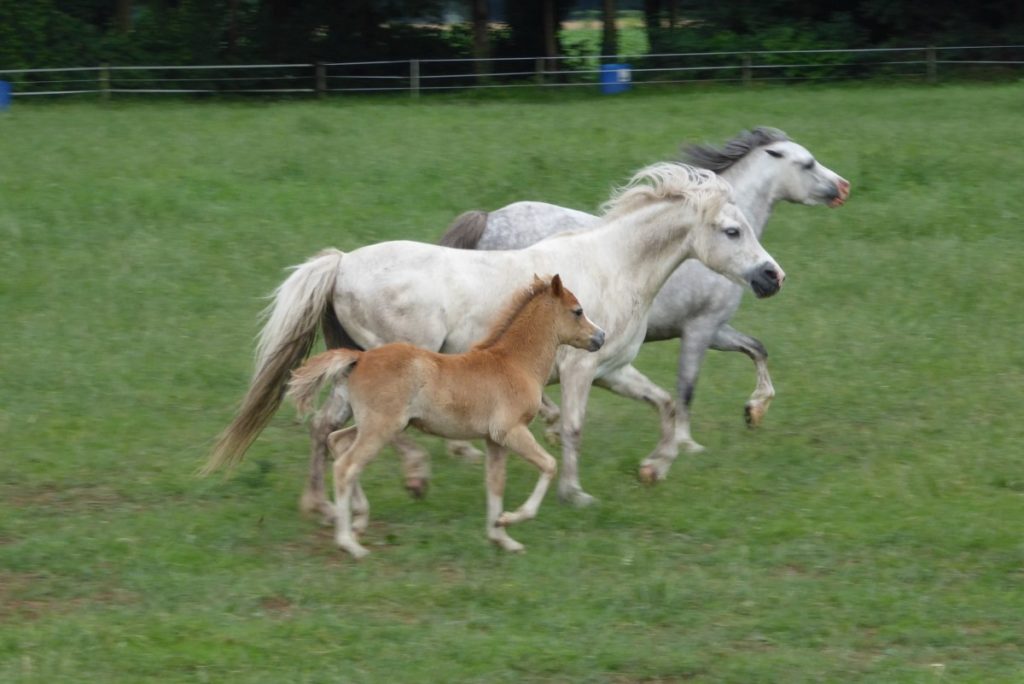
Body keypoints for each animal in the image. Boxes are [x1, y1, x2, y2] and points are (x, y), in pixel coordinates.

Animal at [205, 162, 782, 509]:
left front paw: (654, 469)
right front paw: (575, 494)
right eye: (732, 231)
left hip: (354, 370)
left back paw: (322, 506)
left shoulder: (611, 368)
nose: (772, 277)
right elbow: (573, 429)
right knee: (373, 429)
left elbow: (663, 404)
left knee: (325, 426)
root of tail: (343, 263)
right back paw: (413, 476)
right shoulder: (580, 370)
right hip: (393, 366)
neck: (612, 265)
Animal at [440, 127, 847, 466]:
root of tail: (489, 218)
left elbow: (757, 349)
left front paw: (754, 411)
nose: (842, 188)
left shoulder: (715, 329)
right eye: (807, 163)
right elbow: (686, 388)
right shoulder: (699, 329)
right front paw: (686, 444)